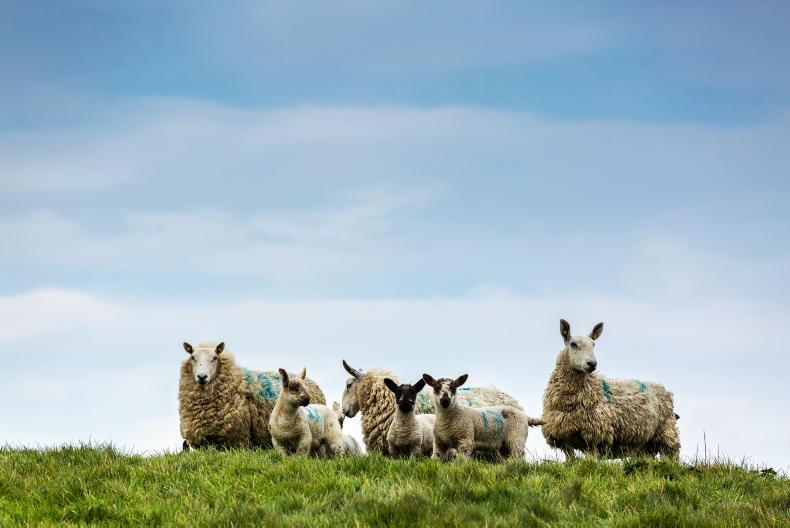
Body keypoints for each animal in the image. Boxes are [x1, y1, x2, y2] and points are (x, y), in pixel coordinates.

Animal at [541, 319, 680, 460]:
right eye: (573, 344)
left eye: (593, 344)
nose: (592, 364)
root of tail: (662, 387)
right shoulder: (563, 439)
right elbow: (571, 460)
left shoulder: (594, 436)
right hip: (645, 446)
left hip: (667, 433)